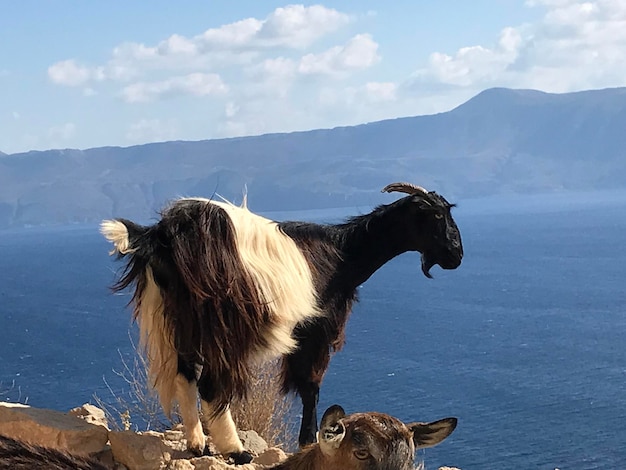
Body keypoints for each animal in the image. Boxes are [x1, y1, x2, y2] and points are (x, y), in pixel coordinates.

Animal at [101, 183, 464, 462]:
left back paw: (197, 444)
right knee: (211, 385)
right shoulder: (316, 329)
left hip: (181, 318)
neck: (342, 254)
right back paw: (235, 451)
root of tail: (162, 236)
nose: (456, 256)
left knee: (185, 375)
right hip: (221, 324)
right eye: (435, 216)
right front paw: (309, 440)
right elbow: (311, 386)